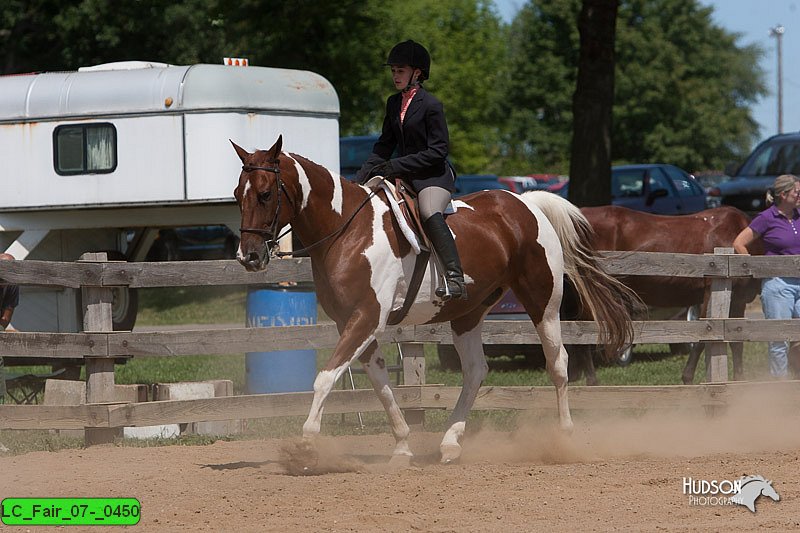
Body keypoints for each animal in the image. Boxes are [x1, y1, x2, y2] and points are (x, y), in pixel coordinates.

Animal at [231, 135, 636, 464]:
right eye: (237, 195)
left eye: (265, 194)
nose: (248, 257)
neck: (347, 230)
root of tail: (525, 203)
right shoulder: (353, 322)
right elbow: (380, 383)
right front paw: (402, 446)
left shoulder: (366, 317)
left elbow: (325, 378)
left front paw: (305, 445)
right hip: (469, 313)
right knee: (475, 370)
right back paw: (450, 443)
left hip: (544, 306)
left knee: (558, 364)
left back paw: (563, 438)